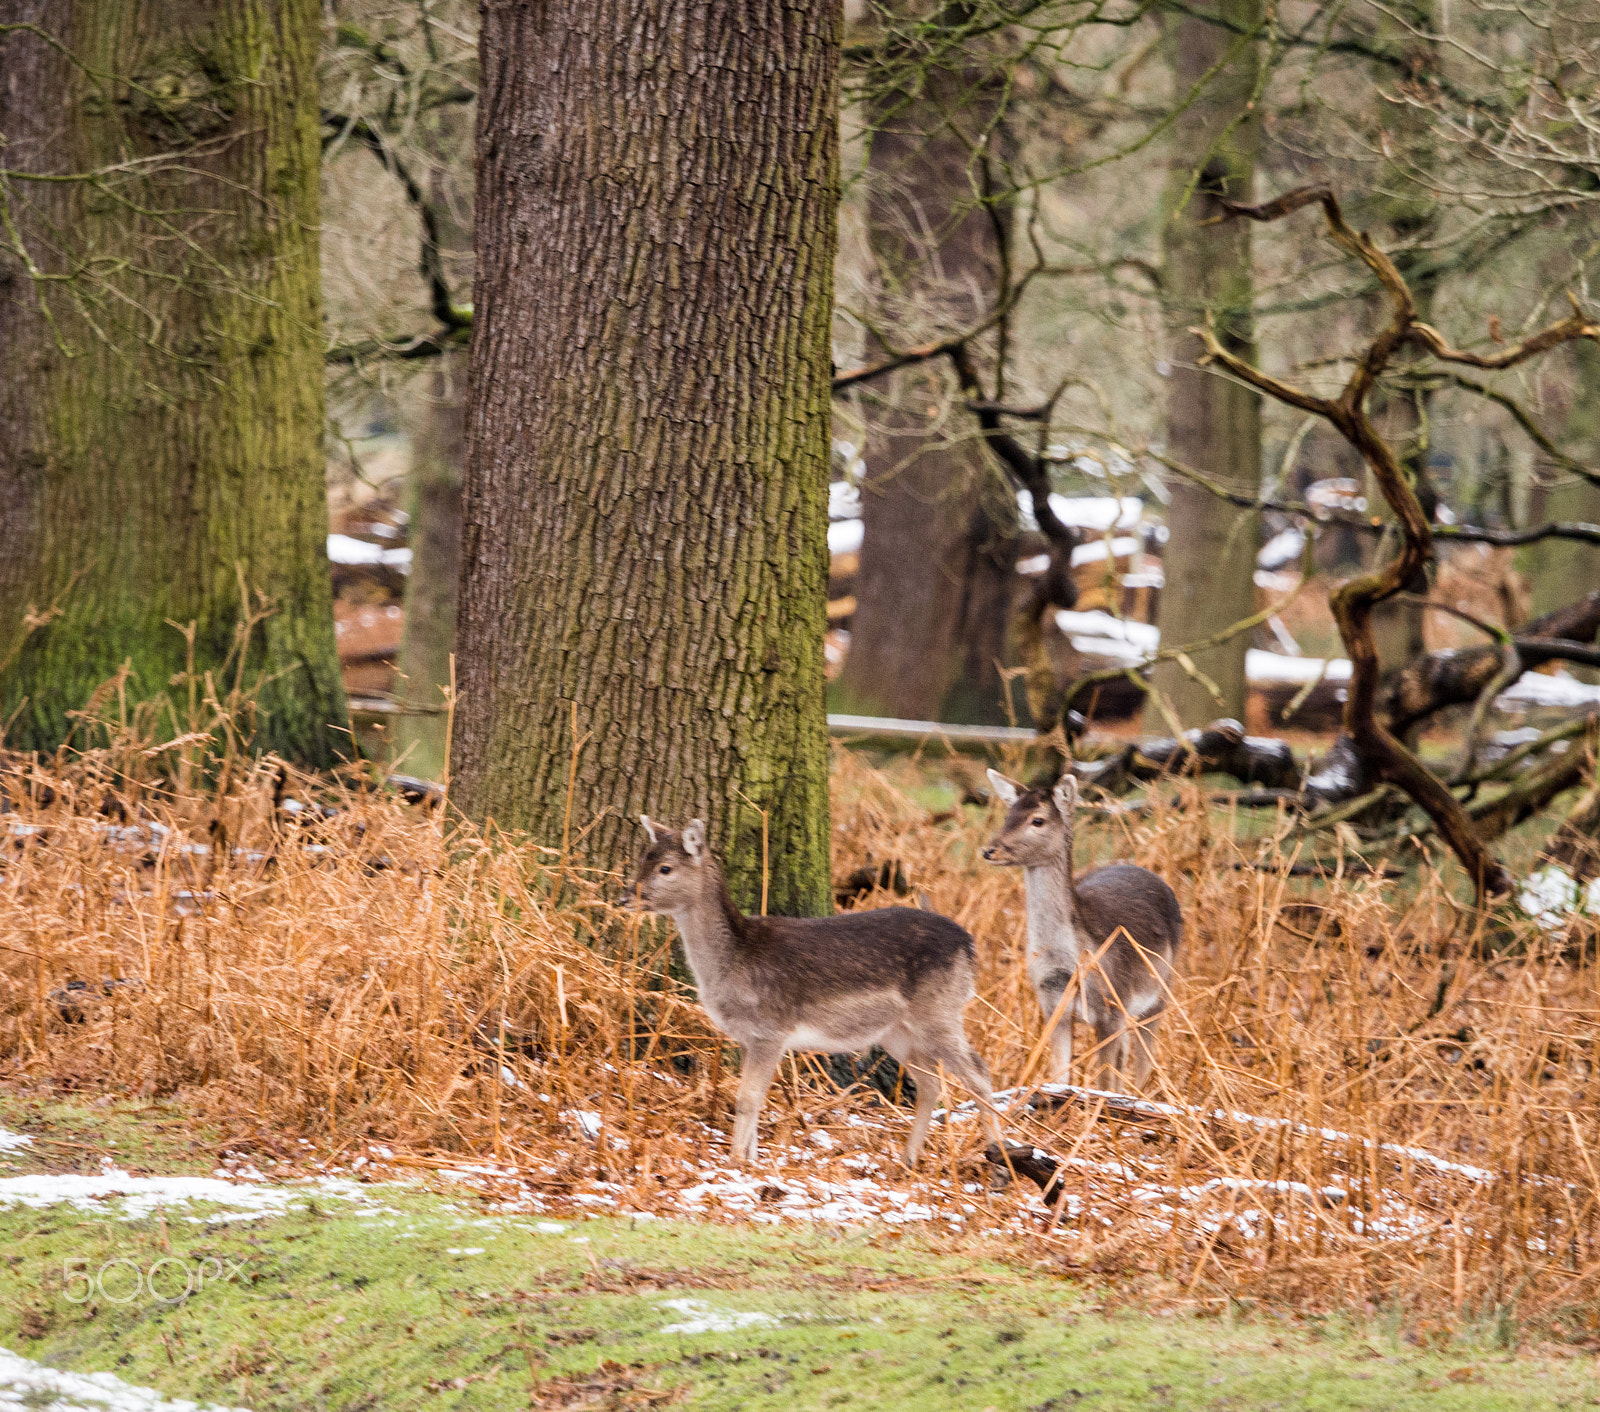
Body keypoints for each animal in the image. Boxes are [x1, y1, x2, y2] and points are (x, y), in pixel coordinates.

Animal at [620, 813, 998, 1165]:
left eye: (666, 868)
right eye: (641, 858)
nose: (626, 896)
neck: (733, 962)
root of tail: (970, 945)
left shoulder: (770, 1030)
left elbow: (747, 1099)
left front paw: (736, 1162)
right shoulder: (747, 1037)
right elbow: (754, 1098)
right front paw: (750, 1158)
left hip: (938, 1011)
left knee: (979, 1073)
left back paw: (997, 1156)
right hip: (897, 1031)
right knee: (931, 1084)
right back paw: (908, 1160)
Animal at [979, 771, 1184, 1088]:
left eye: (1038, 820)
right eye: (1008, 815)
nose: (990, 850)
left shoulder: (1113, 1006)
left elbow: (1105, 1083)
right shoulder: (1053, 1008)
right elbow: (1059, 1076)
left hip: (1160, 992)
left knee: (1144, 1061)